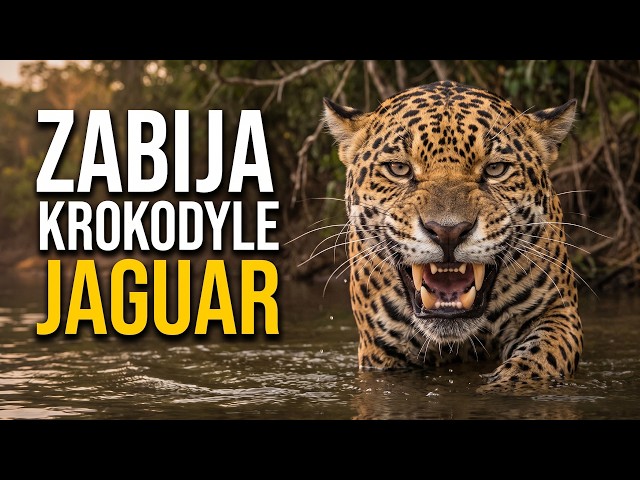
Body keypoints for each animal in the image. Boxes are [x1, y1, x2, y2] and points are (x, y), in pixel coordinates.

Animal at [322, 80, 583, 393]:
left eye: (496, 169)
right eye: (399, 168)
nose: (448, 231)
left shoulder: (558, 312)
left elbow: (540, 359)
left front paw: (503, 387)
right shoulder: (382, 350)